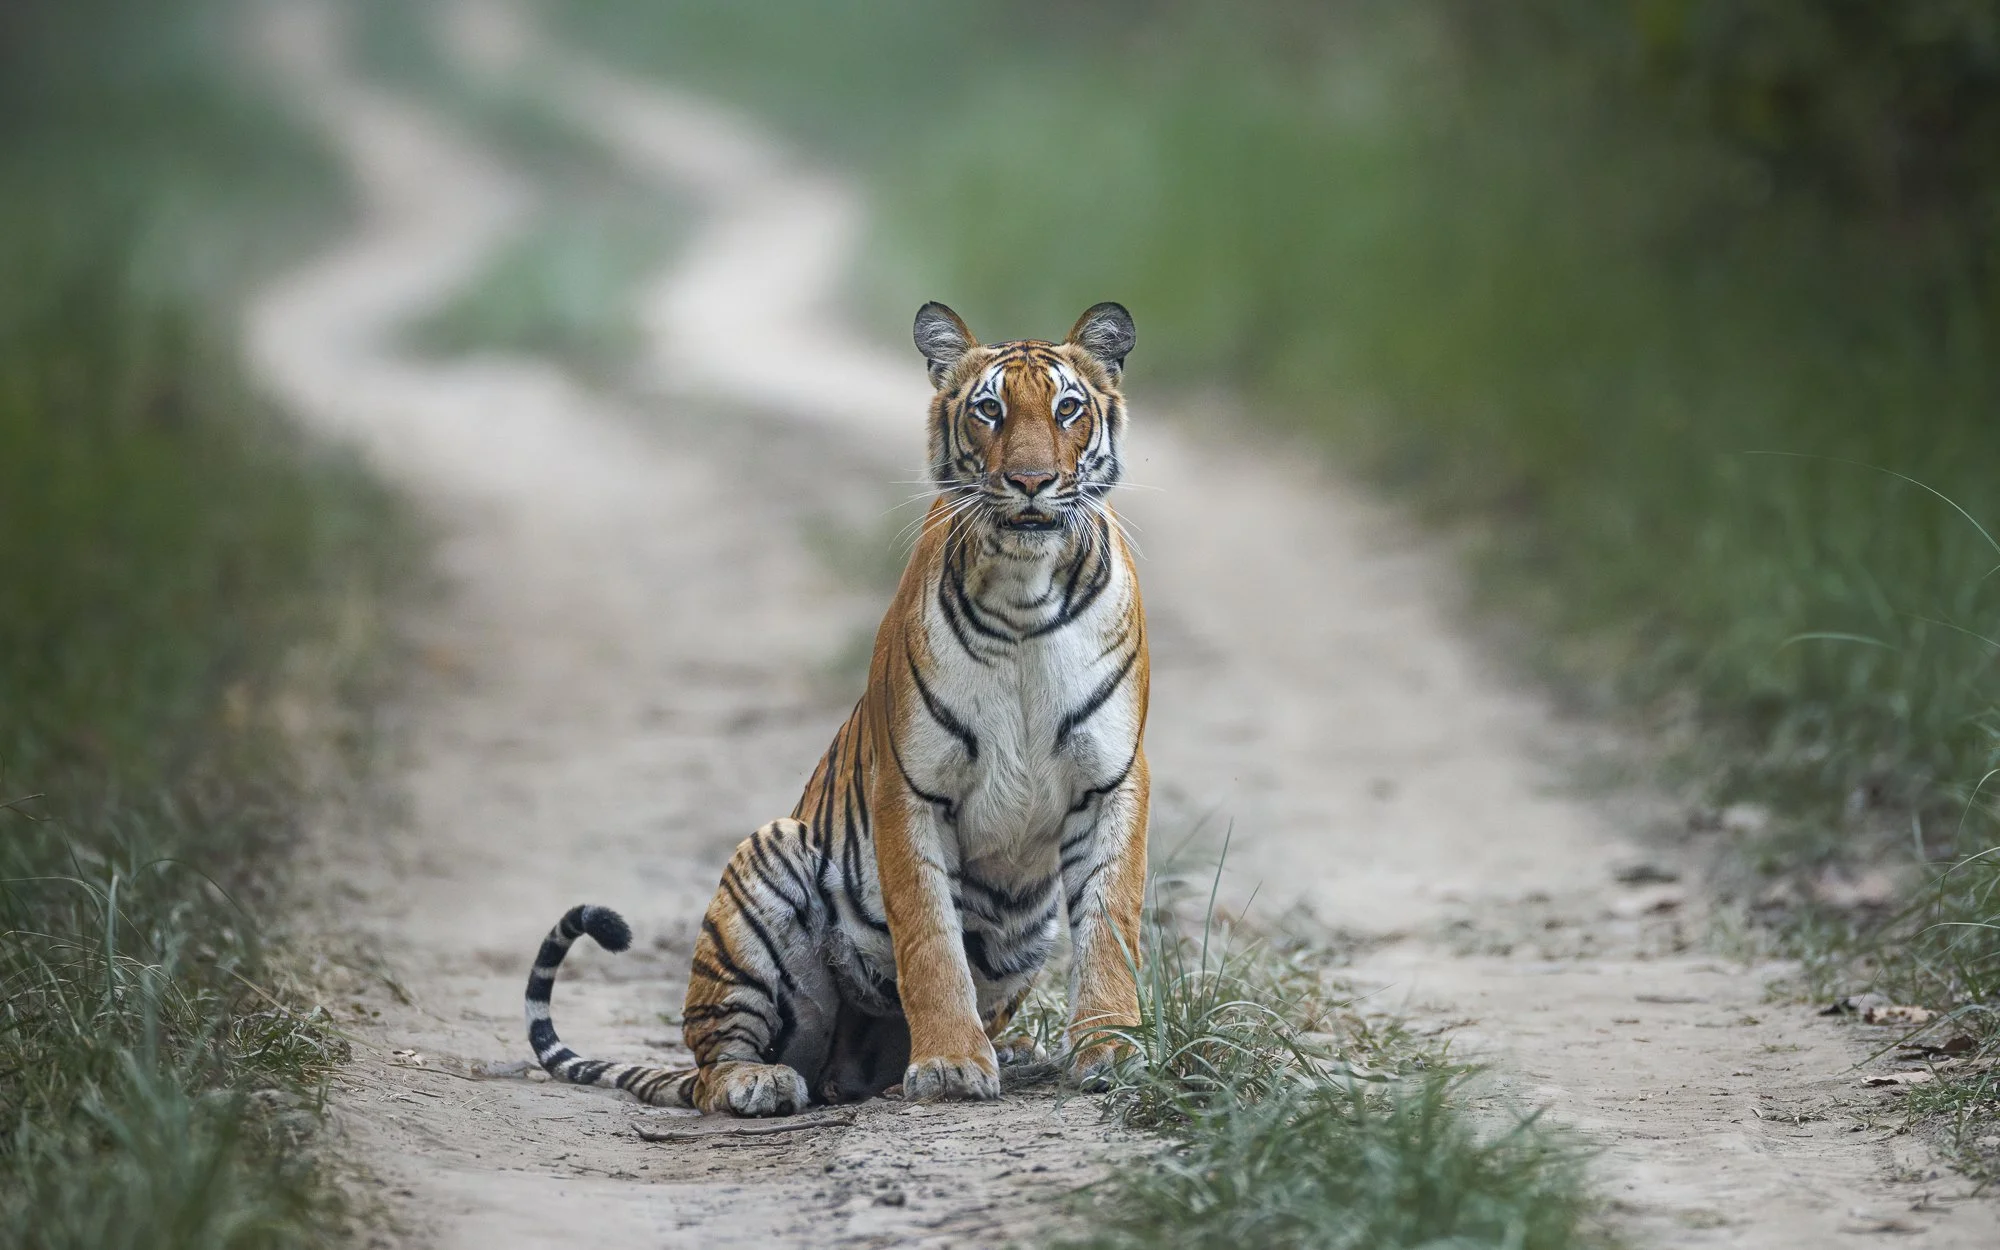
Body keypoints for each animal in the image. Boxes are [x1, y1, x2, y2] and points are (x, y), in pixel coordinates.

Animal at [523, 301, 1149, 1116]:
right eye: (989, 411)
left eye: (1068, 409)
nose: (1032, 480)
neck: (1025, 591)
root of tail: (847, 1068)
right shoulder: (910, 786)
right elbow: (931, 939)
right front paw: (951, 1063)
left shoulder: (1112, 779)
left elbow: (1111, 924)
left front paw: (1111, 1049)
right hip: (767, 866)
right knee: (713, 1064)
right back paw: (760, 1081)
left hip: (1026, 932)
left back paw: (1005, 1053)